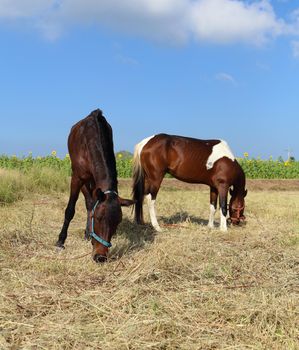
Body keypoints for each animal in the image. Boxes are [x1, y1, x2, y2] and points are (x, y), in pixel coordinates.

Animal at [56, 109, 135, 262]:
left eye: (117, 222)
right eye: (98, 218)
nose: (100, 256)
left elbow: (92, 205)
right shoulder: (77, 178)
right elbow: (70, 210)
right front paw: (60, 241)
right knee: (88, 202)